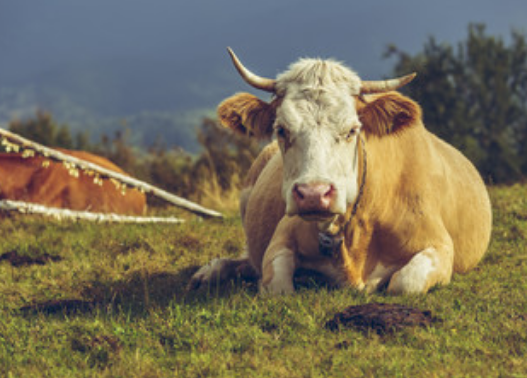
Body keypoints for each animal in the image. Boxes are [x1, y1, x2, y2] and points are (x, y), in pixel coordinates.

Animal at [191, 48, 496, 296]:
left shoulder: (440, 245)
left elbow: (405, 282)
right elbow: (276, 284)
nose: (313, 194)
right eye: (281, 129)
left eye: (352, 130)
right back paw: (210, 271)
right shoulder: (281, 236)